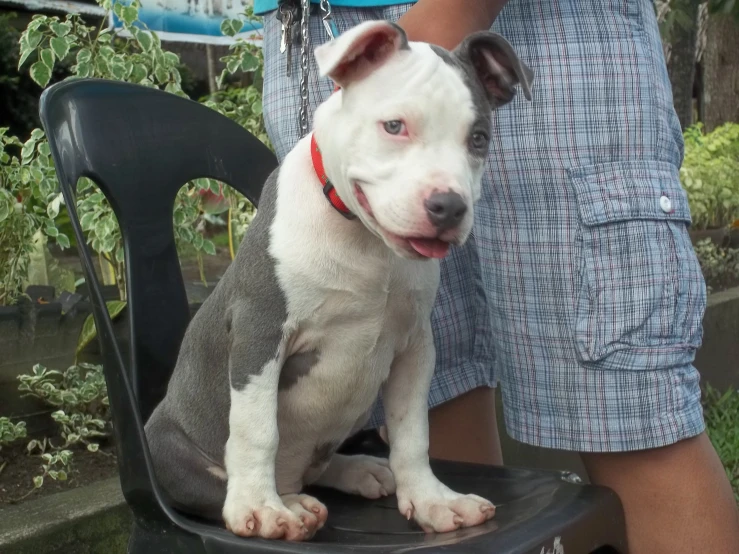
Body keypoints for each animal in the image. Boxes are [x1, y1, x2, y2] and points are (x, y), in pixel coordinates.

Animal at [145, 20, 536, 540]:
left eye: (478, 139)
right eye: (394, 126)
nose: (449, 206)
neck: (365, 241)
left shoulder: (415, 345)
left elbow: (412, 432)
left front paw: (432, 500)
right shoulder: (259, 332)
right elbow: (256, 429)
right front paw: (259, 508)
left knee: (318, 464)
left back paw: (357, 471)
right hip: (167, 444)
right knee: (213, 485)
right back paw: (286, 502)